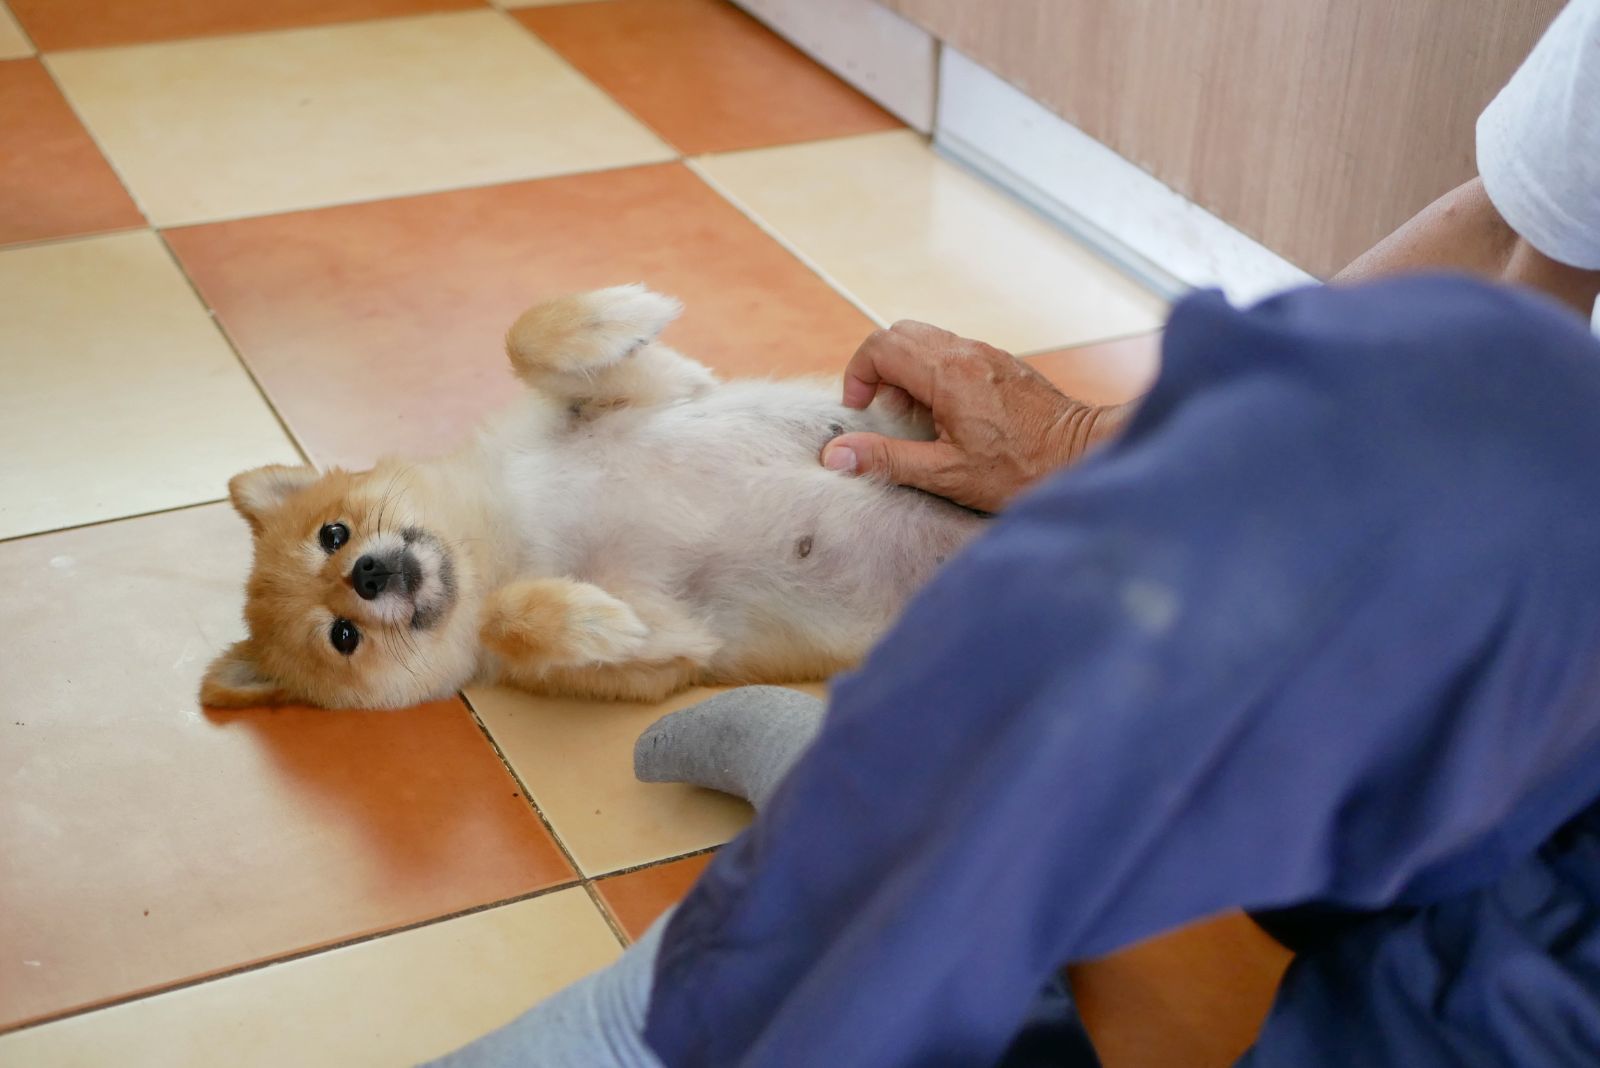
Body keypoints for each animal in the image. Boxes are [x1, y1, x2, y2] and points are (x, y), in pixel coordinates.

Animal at [203, 287, 985, 713]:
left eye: (333, 535)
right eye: (343, 638)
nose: (365, 575)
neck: (502, 534)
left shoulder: (654, 390)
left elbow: (526, 337)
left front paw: (622, 312)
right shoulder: (672, 649)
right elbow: (511, 619)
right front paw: (583, 618)